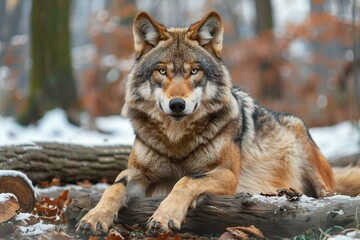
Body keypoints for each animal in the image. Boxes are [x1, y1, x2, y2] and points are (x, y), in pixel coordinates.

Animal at [76, 11, 360, 234]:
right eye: (162, 71)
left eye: (194, 71)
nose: (177, 104)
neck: (177, 140)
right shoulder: (138, 172)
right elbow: (114, 187)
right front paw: (94, 217)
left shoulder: (227, 175)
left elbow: (185, 180)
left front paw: (165, 215)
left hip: (310, 157)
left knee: (330, 195)